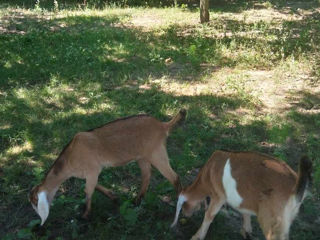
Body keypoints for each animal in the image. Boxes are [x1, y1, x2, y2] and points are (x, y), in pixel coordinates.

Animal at [29, 109, 186, 226]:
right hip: (142, 157)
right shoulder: (90, 173)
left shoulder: (93, 170)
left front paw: (85, 215)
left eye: (36, 202)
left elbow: (88, 191)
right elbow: (94, 186)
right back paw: (137, 201)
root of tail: (162, 126)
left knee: (174, 177)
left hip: (156, 153)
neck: (70, 157)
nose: (39, 219)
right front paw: (114, 197)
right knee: (147, 175)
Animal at [171, 151, 312, 239]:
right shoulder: (245, 200)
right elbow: (246, 216)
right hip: (286, 219)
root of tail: (296, 187)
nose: (185, 215)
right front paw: (246, 233)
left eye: (183, 206)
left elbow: (209, 215)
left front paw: (196, 236)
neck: (208, 174)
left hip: (272, 221)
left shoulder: (218, 196)